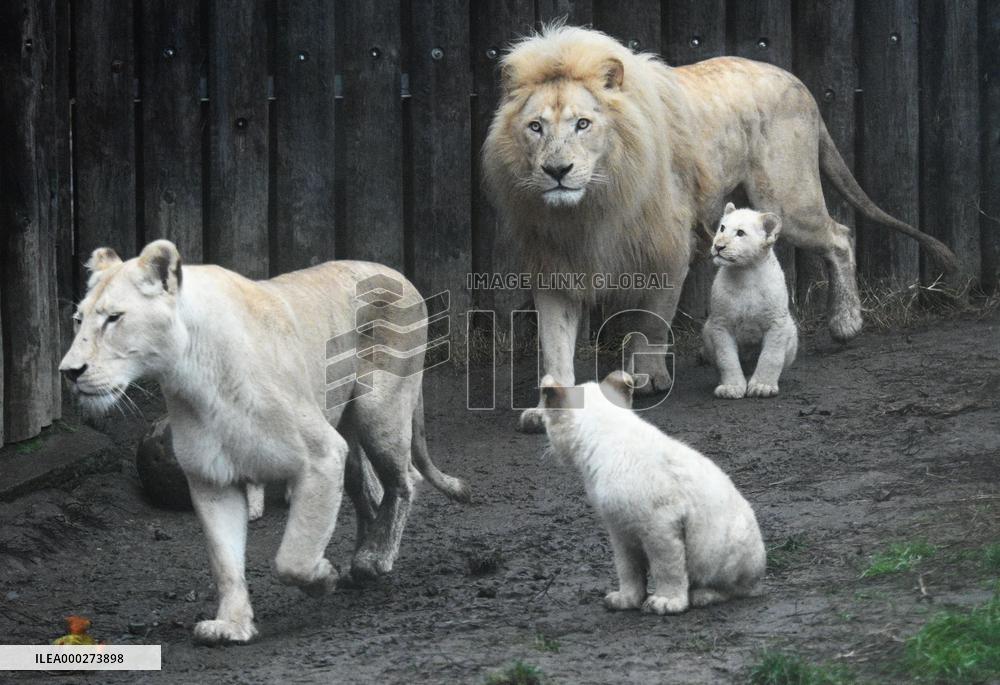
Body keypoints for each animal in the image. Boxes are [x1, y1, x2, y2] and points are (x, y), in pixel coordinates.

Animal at [59, 240, 470, 645]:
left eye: (114, 318)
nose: (69, 371)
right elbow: (224, 561)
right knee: (369, 492)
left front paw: (323, 577)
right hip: (349, 431)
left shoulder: (322, 455)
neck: (191, 377)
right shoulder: (212, 479)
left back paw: (375, 559)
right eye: (79, 319)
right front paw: (232, 625)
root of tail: (397, 273)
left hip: (380, 411)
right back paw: (361, 560)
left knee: (404, 481)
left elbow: (294, 555)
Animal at [482, 25, 958, 433]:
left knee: (840, 236)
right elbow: (554, 346)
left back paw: (845, 323)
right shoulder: (556, 266)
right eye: (535, 127)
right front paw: (547, 409)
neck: (587, 209)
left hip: (788, 200)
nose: (556, 171)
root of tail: (796, 80)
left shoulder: (666, 251)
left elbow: (650, 324)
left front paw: (649, 379)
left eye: (583, 124)